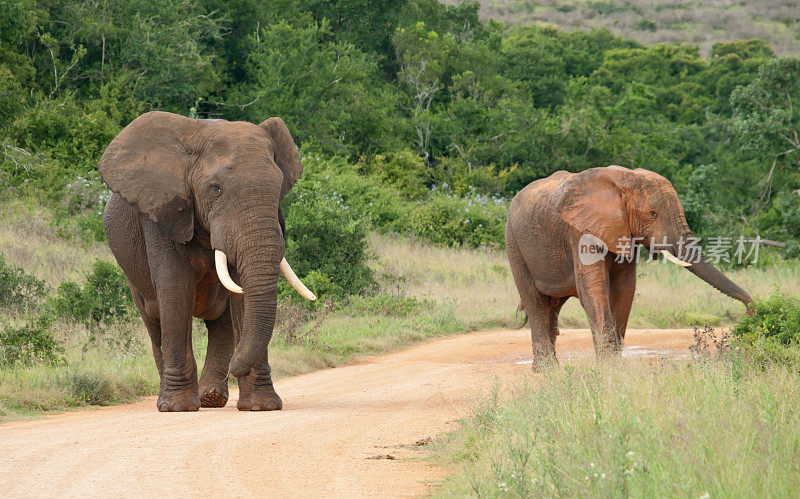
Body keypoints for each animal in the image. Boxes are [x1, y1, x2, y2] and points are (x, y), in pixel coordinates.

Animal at [98, 111, 314, 412]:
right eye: (216, 189)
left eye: (278, 188)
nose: (236, 369)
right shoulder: (161, 213)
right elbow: (175, 291)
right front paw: (177, 408)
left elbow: (242, 297)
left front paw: (262, 407)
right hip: (131, 276)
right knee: (155, 321)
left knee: (220, 323)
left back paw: (212, 397)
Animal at [506, 166, 756, 366]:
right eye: (653, 214)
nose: (747, 313)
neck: (624, 179)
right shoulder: (580, 231)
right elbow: (593, 289)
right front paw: (607, 367)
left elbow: (625, 288)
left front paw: (613, 365)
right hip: (514, 244)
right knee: (536, 303)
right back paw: (547, 371)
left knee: (552, 306)